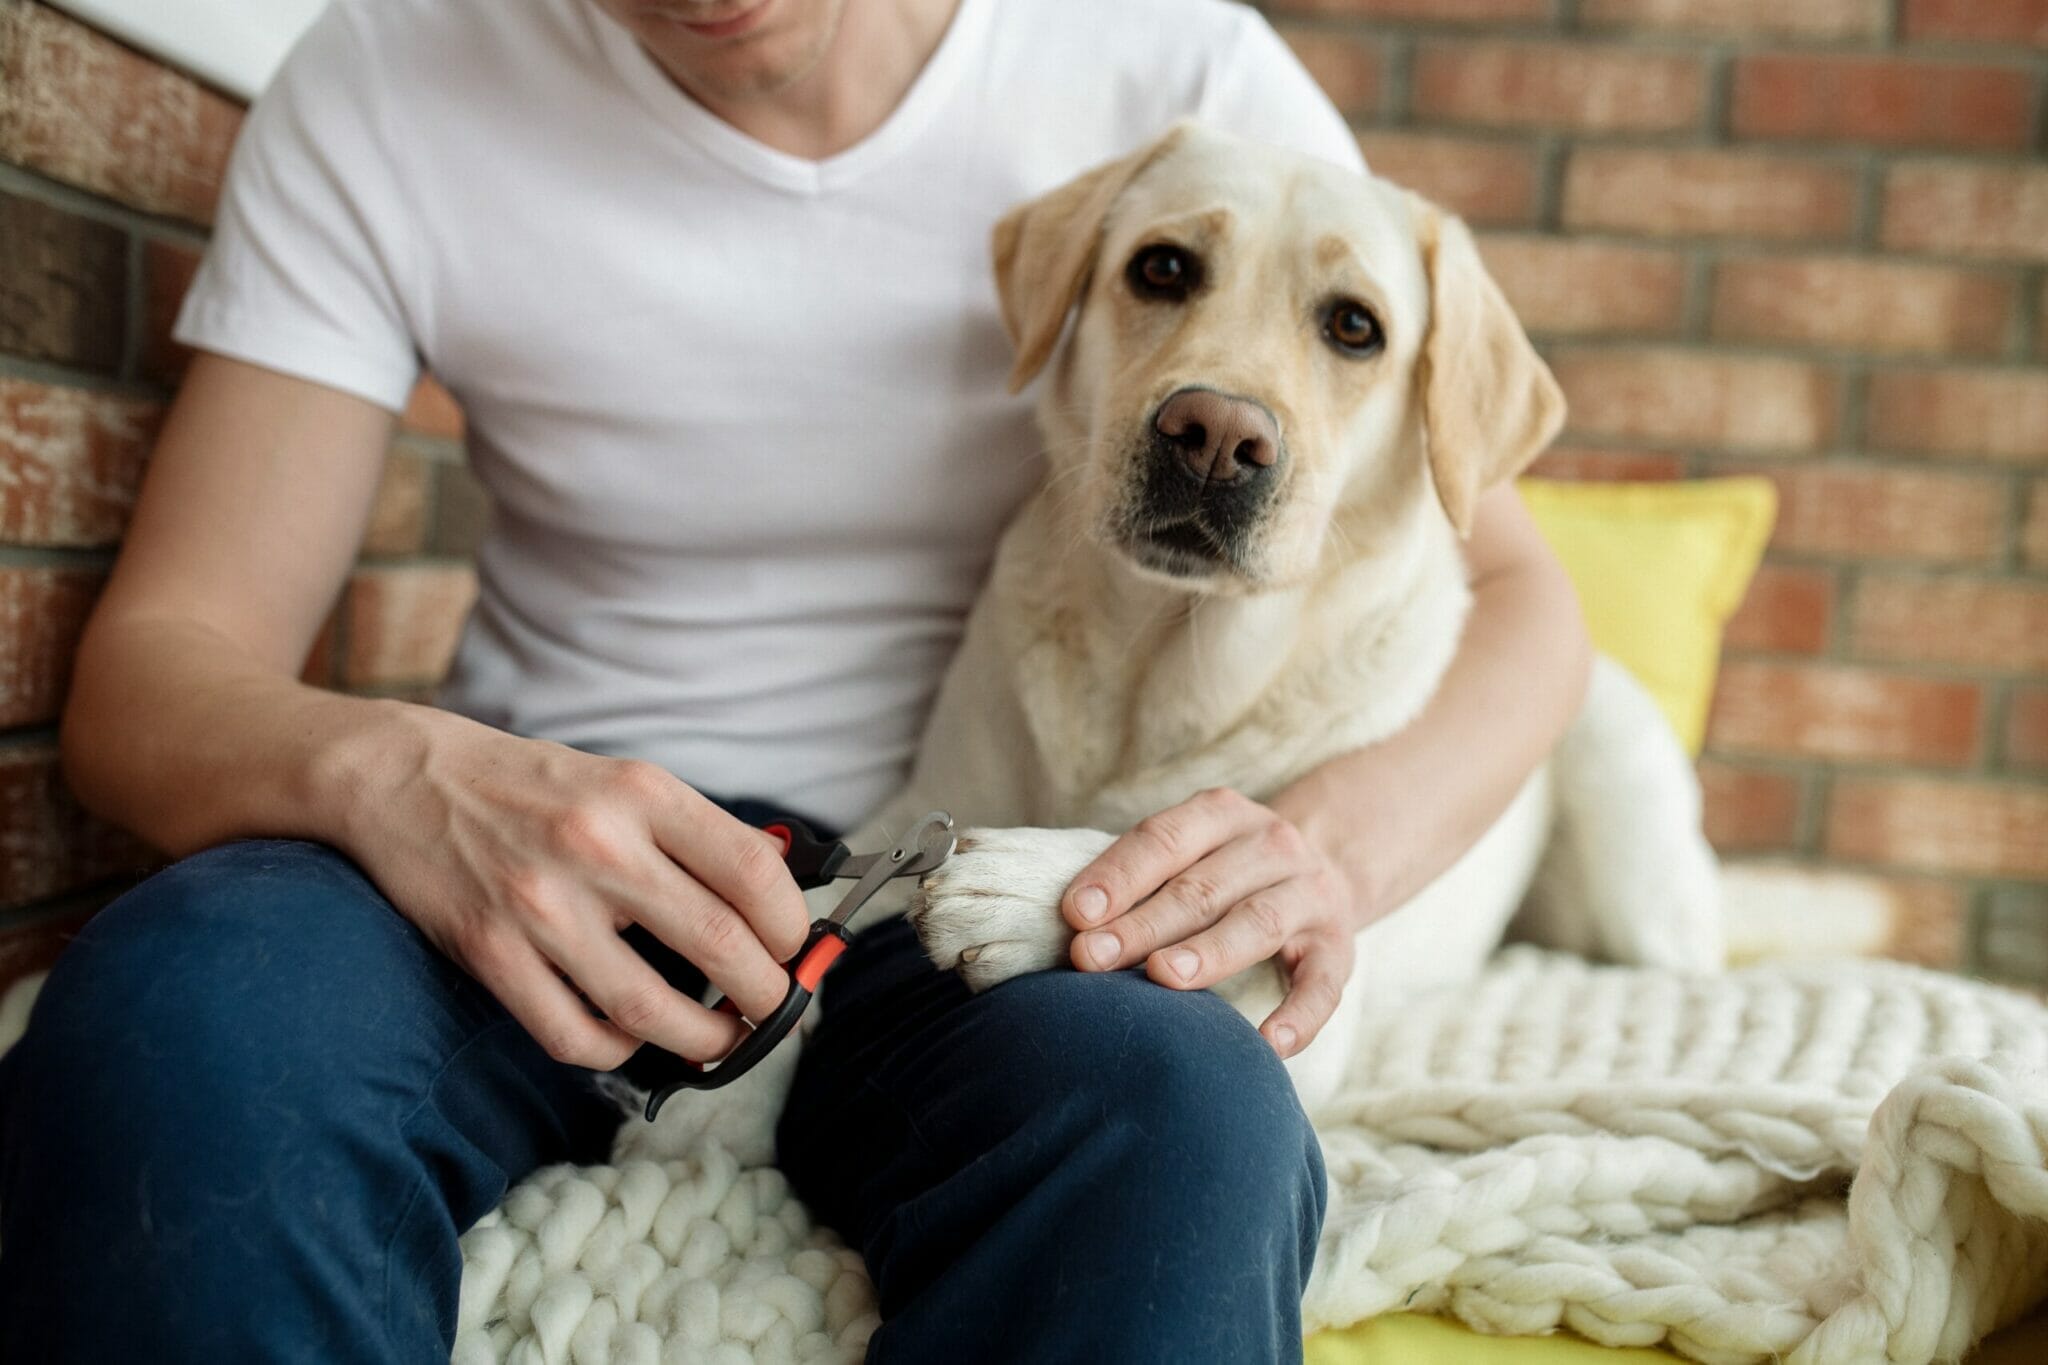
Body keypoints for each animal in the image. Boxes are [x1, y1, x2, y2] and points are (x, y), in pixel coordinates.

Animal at [626, 120, 1728, 1162]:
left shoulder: (1308, 981)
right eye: (1161, 268)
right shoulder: (911, 805)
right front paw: (724, 1059)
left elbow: (1183, 867)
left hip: (1627, 830)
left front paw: (1024, 890)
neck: (1155, 672)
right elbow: (810, 886)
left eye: (1354, 327)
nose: (1215, 435)